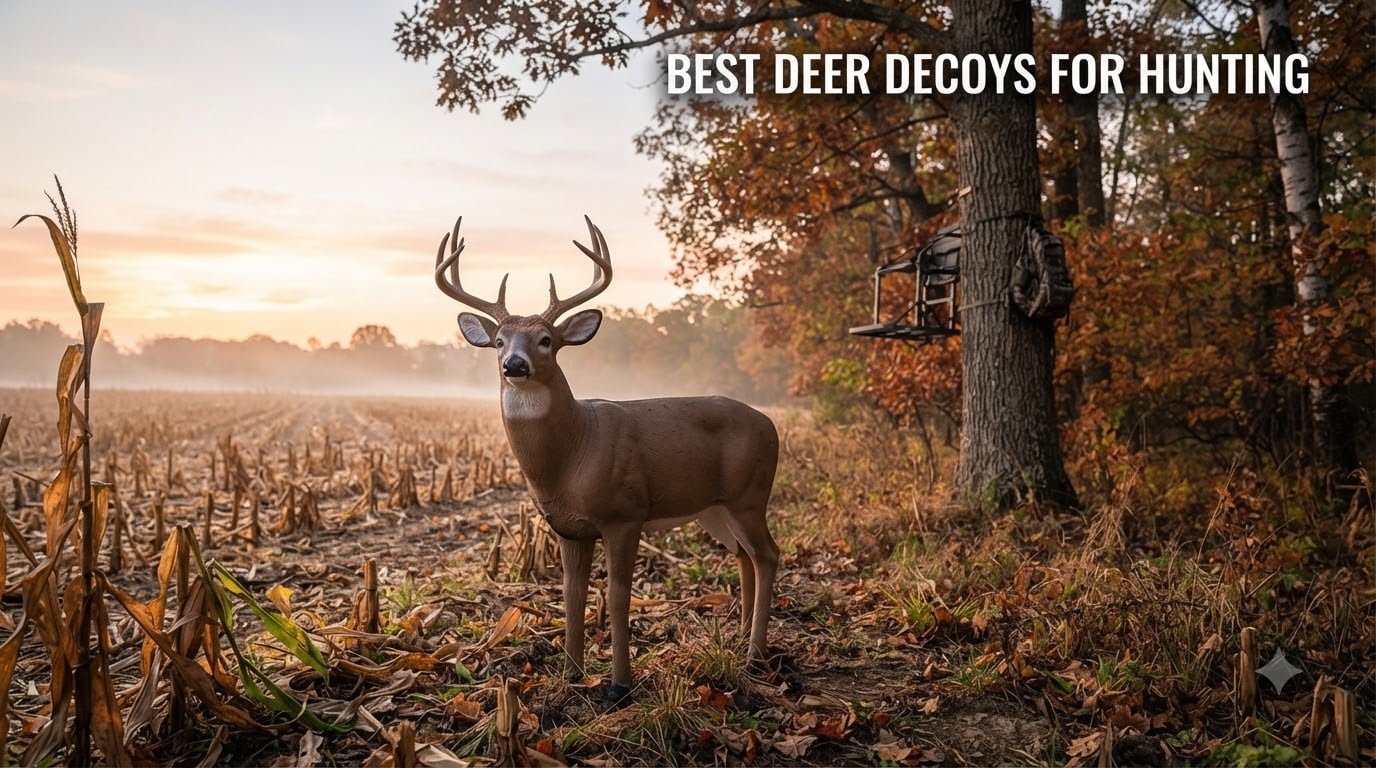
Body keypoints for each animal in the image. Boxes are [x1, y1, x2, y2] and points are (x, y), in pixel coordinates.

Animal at [434, 215, 780, 704]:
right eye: (499, 341)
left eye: (546, 340)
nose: (514, 365)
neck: (574, 452)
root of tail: (770, 423)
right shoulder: (567, 528)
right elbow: (572, 594)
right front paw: (571, 674)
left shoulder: (625, 513)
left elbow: (617, 595)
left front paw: (619, 685)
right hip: (715, 508)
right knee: (744, 556)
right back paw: (739, 638)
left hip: (751, 495)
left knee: (768, 555)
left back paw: (754, 654)